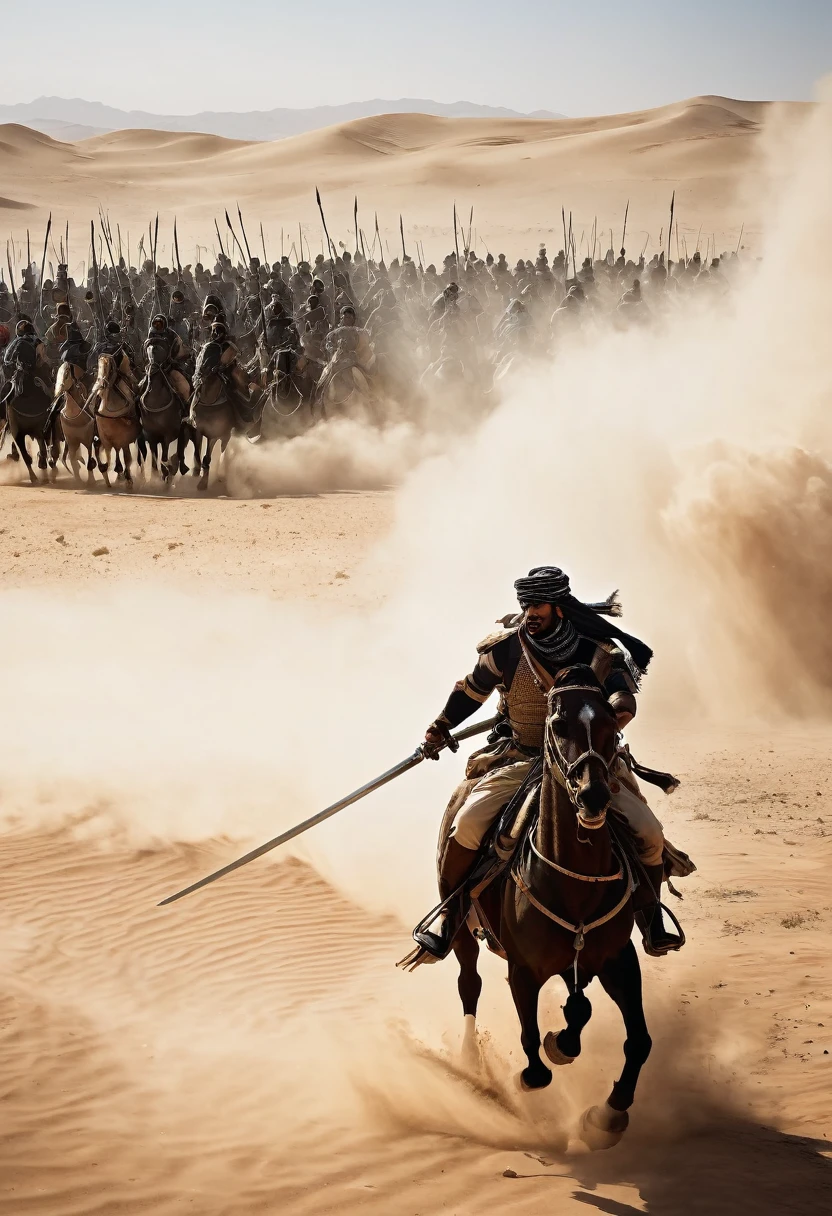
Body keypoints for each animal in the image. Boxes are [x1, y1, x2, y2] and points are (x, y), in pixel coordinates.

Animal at [447, 666, 651, 1147]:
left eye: (611, 724)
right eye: (558, 726)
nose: (594, 796)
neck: (573, 881)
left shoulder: (617, 959)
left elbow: (635, 1039)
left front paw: (606, 1116)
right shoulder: (523, 969)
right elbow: (534, 1057)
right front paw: (538, 1067)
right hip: (463, 930)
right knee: (469, 983)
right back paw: (470, 1060)